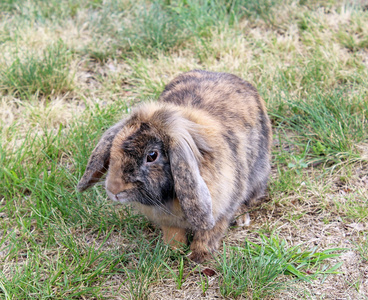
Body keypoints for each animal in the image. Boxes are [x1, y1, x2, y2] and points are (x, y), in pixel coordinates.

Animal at [77, 69, 272, 262]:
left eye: (152, 156)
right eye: (113, 148)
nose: (114, 190)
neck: (171, 197)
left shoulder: (220, 209)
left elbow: (209, 233)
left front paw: (198, 255)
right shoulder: (168, 220)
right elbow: (173, 233)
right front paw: (172, 250)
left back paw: (242, 220)